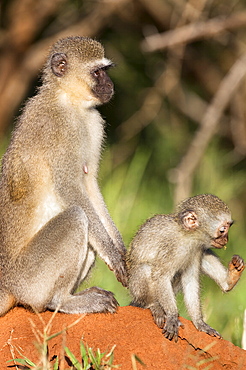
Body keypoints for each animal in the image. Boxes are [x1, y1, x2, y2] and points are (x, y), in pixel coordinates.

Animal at [0, 36, 127, 316]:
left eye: (106, 71)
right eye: (97, 72)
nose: (110, 85)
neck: (69, 101)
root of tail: (6, 282)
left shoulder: (94, 123)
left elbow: (89, 186)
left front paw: (119, 248)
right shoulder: (57, 128)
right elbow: (70, 188)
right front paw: (112, 252)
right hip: (30, 279)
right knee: (78, 217)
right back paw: (61, 301)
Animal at [128, 194, 245, 342]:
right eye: (222, 230)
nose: (226, 240)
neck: (188, 236)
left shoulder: (196, 250)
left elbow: (190, 279)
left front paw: (199, 322)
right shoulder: (171, 247)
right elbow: (161, 275)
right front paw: (173, 316)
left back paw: (229, 281)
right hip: (136, 290)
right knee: (145, 268)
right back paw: (153, 305)